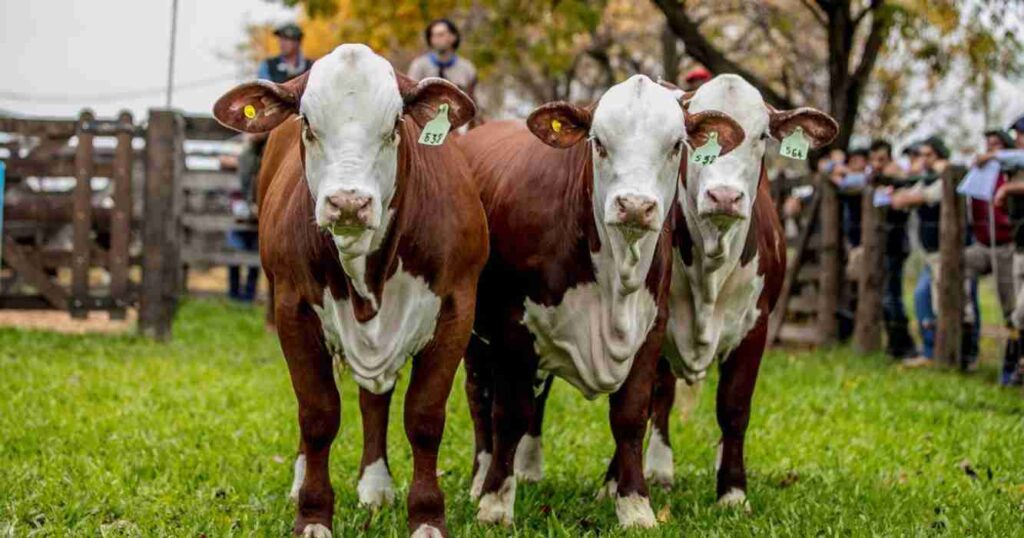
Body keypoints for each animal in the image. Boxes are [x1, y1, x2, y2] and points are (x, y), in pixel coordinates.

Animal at [212, 43, 487, 536]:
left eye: (395, 125)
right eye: (306, 124)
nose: (348, 203)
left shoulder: (457, 307)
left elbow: (424, 417)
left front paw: (427, 516)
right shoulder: (293, 310)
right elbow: (318, 413)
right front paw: (313, 514)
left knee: (375, 397)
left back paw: (376, 485)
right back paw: (305, 478)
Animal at [458, 72, 745, 528]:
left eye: (675, 146)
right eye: (599, 143)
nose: (636, 205)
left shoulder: (649, 329)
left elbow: (630, 416)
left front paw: (635, 506)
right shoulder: (513, 328)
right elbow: (510, 413)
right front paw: (495, 504)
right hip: (474, 335)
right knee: (480, 400)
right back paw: (480, 478)